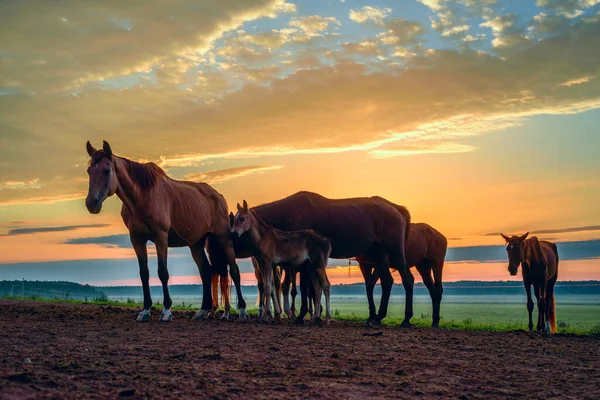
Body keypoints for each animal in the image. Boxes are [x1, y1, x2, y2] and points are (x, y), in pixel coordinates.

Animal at [84, 141, 248, 322]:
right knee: (206, 271)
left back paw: (242, 311)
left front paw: (166, 311)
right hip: (196, 244)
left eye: (107, 171)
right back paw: (203, 310)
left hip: (223, 239)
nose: (91, 203)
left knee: (234, 271)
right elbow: (144, 273)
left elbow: (162, 272)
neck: (142, 197)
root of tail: (218, 196)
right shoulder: (137, 239)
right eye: (89, 171)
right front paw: (145, 310)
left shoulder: (160, 238)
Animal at [230, 191, 412, 328]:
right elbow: (308, 288)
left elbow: (304, 288)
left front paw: (301, 315)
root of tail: (397, 209)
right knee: (386, 281)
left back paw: (404, 319)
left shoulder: (301, 264)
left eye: (241, 219)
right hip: (379, 255)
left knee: (407, 280)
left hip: (394, 253)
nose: (231, 236)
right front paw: (312, 315)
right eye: (232, 220)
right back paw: (375, 317)